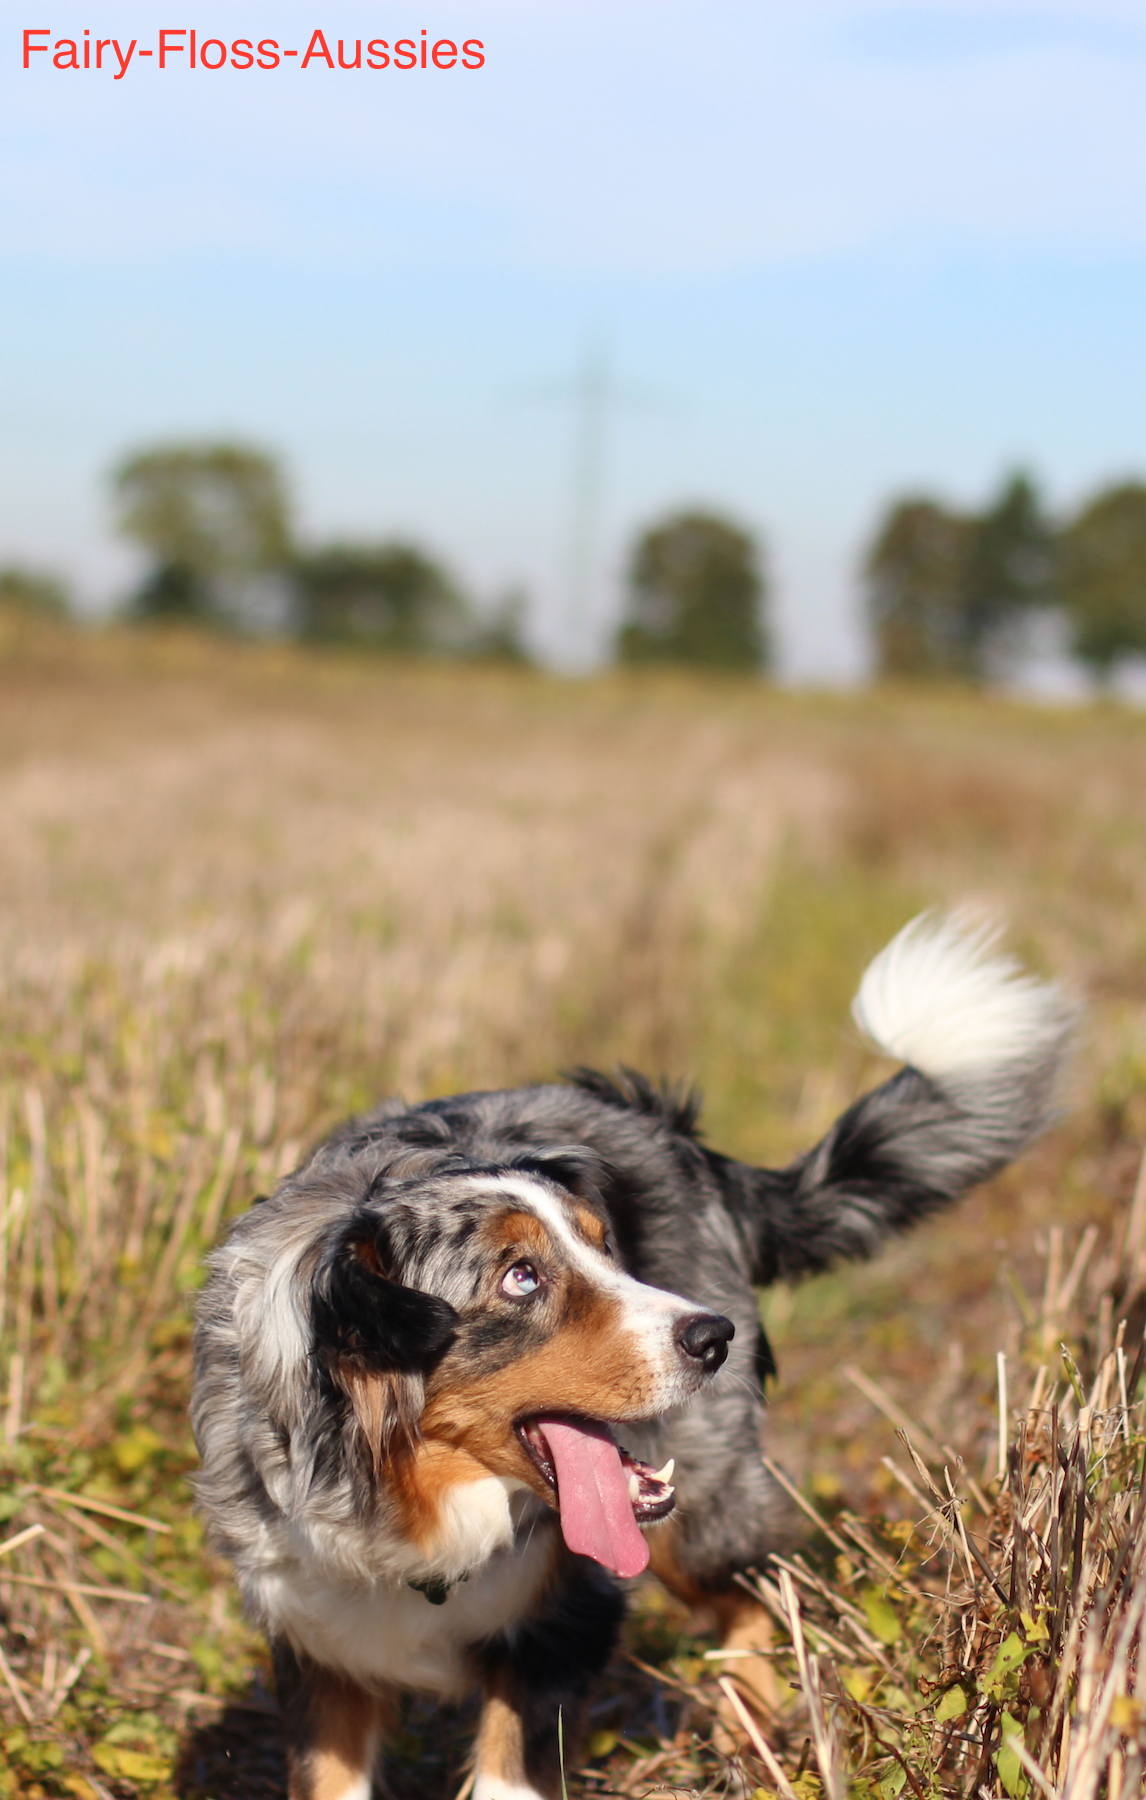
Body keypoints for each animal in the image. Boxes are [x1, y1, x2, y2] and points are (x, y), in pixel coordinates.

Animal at [192, 914, 1065, 1800]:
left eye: (606, 1245)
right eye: (520, 1276)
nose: (715, 1337)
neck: (410, 1503)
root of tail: (672, 1128)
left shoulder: (564, 1618)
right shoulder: (319, 1644)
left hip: (702, 1502)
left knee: (759, 1592)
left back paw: (748, 1737)